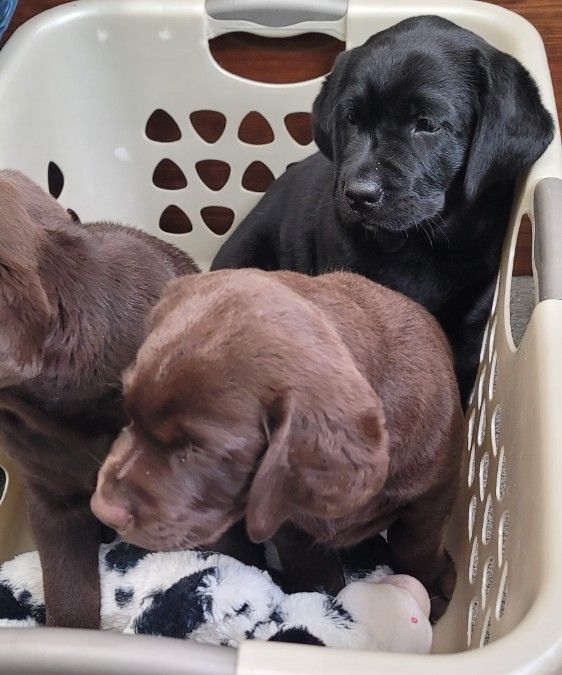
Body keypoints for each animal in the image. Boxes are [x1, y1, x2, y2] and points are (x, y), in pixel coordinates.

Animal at [91, 270, 460, 624]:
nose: (101, 509)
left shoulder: (434, 492)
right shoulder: (282, 511)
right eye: (127, 412)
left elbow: (416, 543)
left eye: (199, 449)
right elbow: (310, 563)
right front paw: (316, 601)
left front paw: (430, 587)